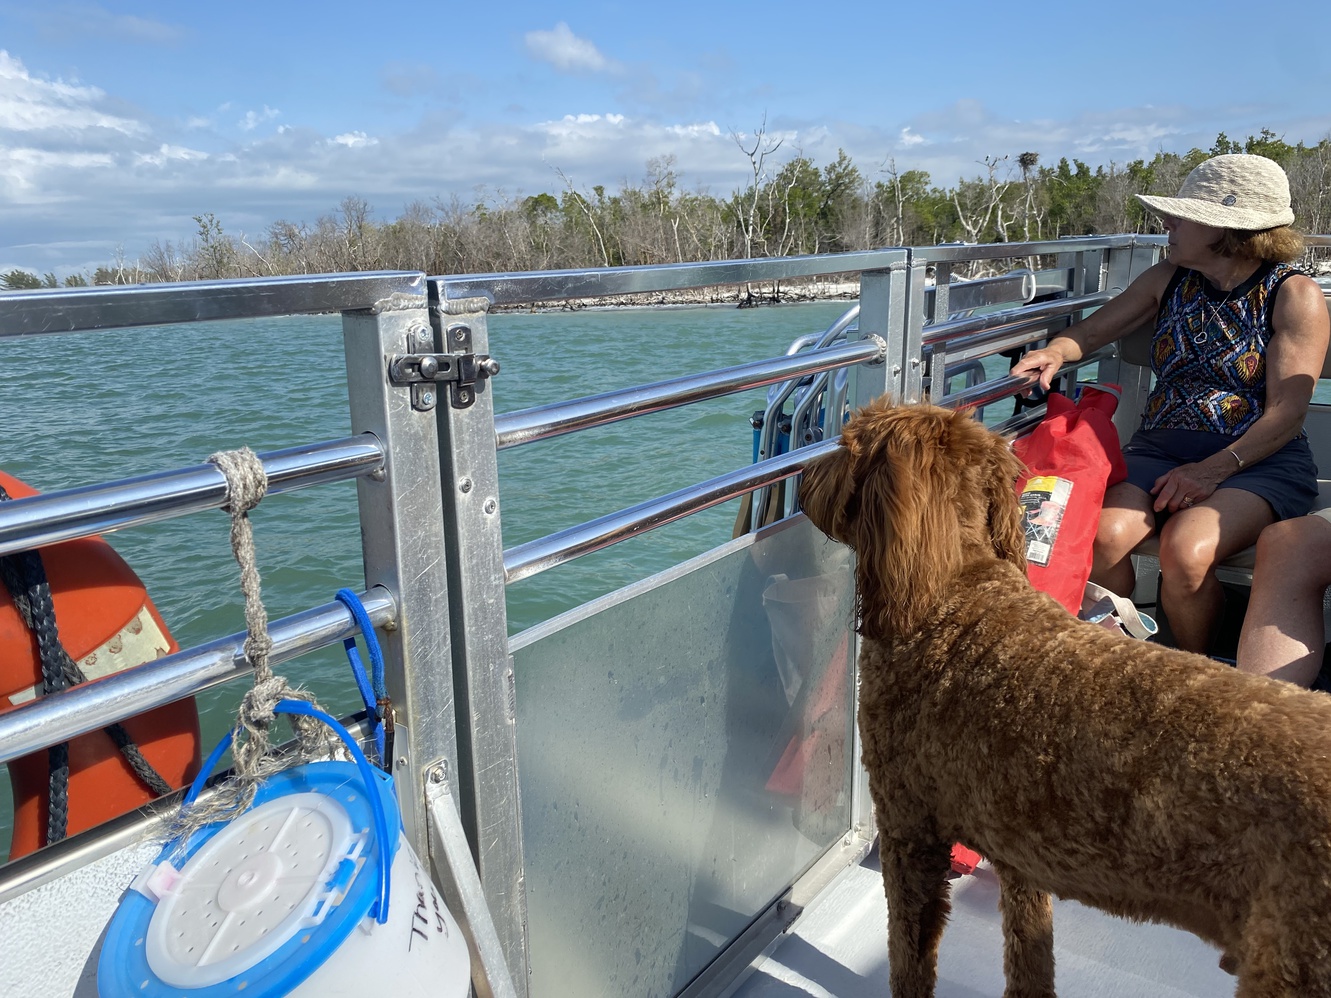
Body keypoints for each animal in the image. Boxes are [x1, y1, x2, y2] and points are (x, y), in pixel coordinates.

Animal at [798, 399, 1331, 998]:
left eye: (848, 445)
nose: (801, 479)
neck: (952, 590)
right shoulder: (1021, 852)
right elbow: (1029, 955)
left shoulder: (909, 825)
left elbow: (910, 958)